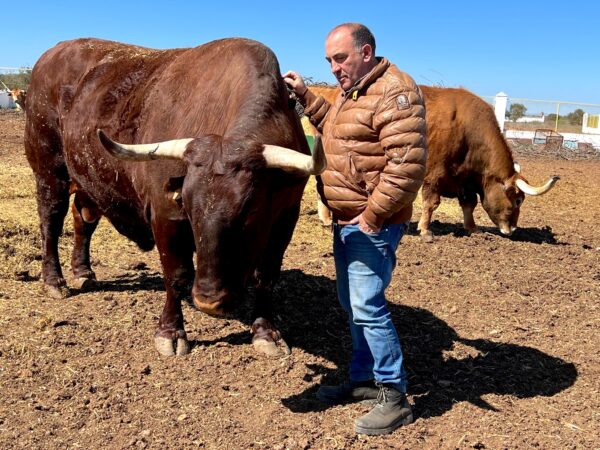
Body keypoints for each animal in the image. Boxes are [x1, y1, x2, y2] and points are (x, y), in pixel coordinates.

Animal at [308, 84, 560, 239]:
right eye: (517, 200)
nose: (512, 228)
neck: (468, 130)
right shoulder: (434, 174)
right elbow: (431, 203)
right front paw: (424, 229)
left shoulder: (464, 179)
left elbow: (469, 205)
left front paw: (472, 228)